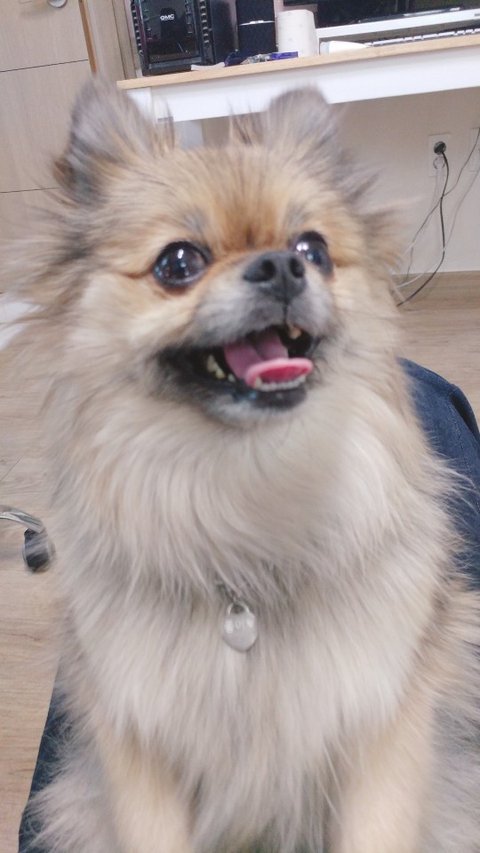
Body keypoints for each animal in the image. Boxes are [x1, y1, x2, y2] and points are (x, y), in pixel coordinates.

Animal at [13, 81, 480, 852]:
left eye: (313, 248)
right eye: (177, 263)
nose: (282, 265)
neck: (246, 488)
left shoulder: (381, 732)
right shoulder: (140, 748)